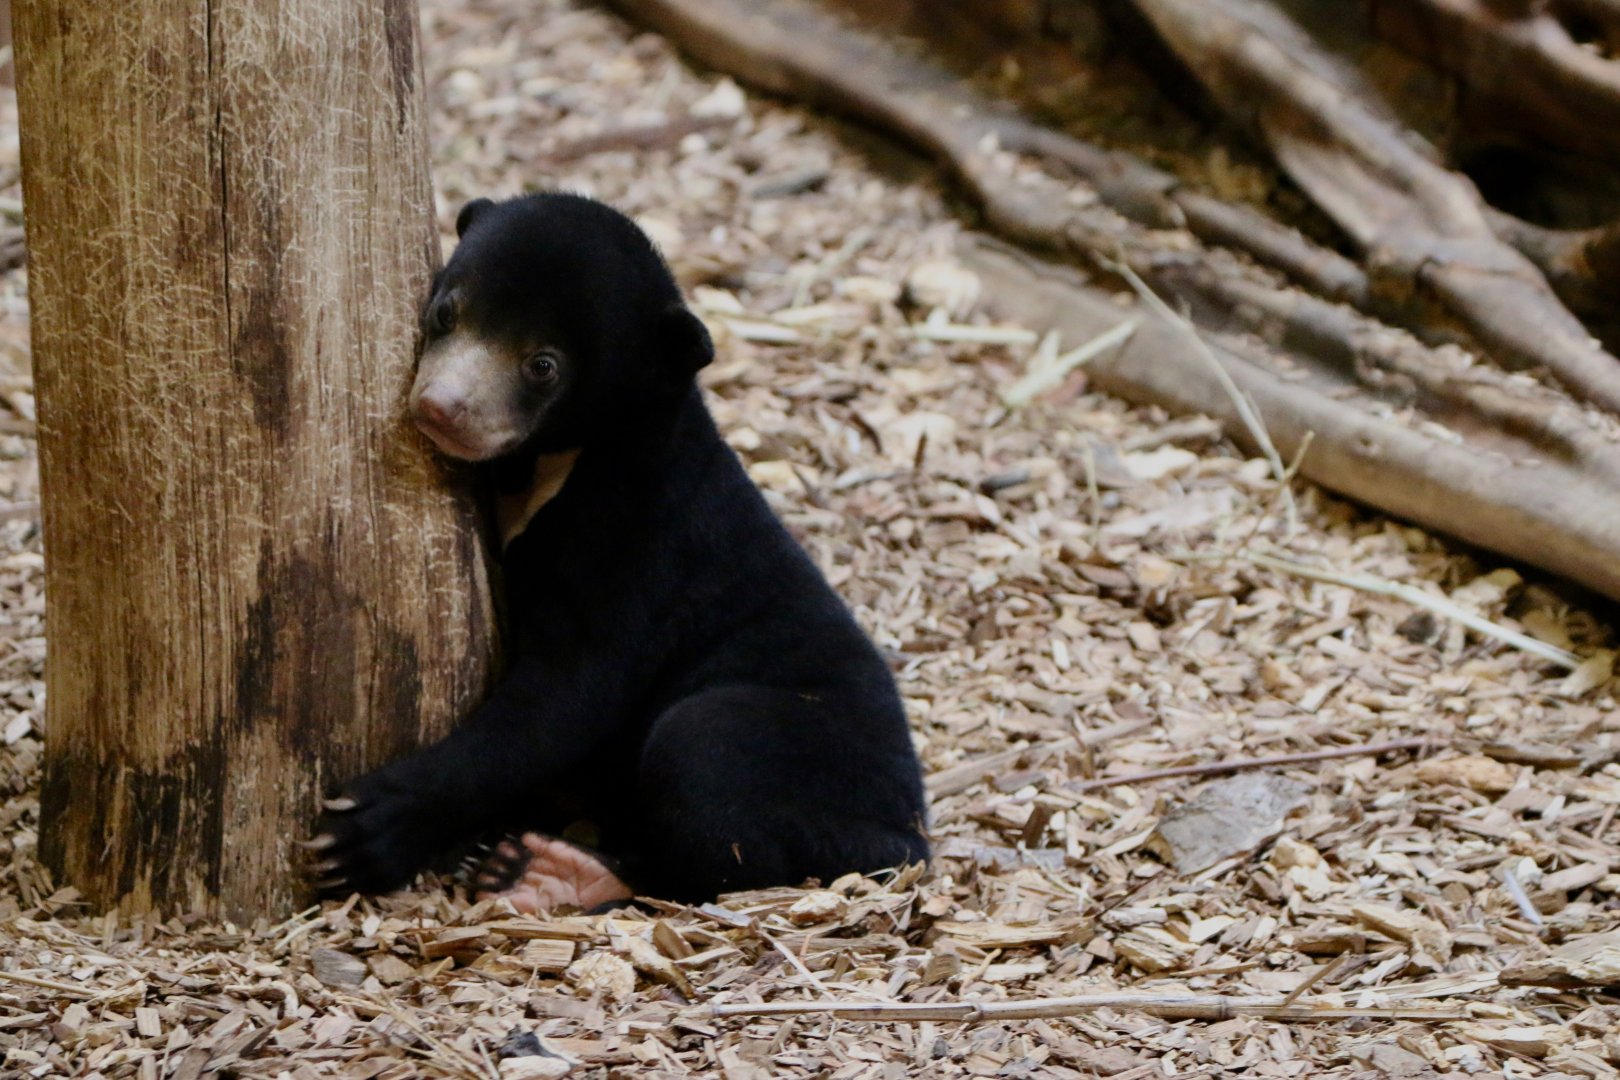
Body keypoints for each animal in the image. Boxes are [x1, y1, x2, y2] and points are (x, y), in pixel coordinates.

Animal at [308, 192, 930, 911]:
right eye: (446, 312)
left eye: (543, 365)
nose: (441, 408)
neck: (563, 461)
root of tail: (908, 837)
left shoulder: (638, 543)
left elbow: (565, 698)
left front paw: (360, 831)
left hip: (803, 751)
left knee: (705, 774)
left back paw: (556, 869)